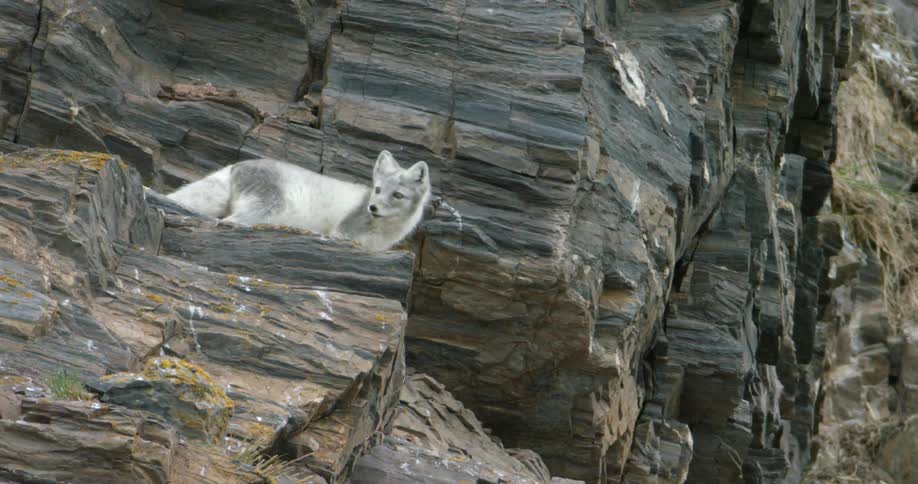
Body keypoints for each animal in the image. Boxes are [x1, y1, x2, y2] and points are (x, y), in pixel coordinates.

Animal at [165, 150, 431, 252]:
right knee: (229, 221)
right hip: (268, 209)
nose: (372, 207)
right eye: (377, 189)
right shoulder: (343, 233)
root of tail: (235, 166)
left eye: (397, 195)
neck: (385, 231)